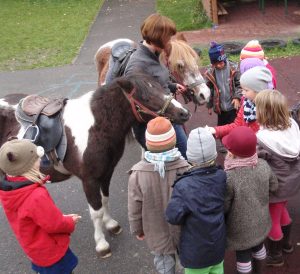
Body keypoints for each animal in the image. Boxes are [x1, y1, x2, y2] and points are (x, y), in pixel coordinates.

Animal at [0, 75, 190, 260]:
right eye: (146, 97)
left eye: (161, 87)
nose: (184, 113)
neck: (97, 127)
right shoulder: (89, 180)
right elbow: (96, 211)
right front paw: (101, 244)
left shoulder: (106, 173)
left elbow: (104, 200)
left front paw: (111, 224)